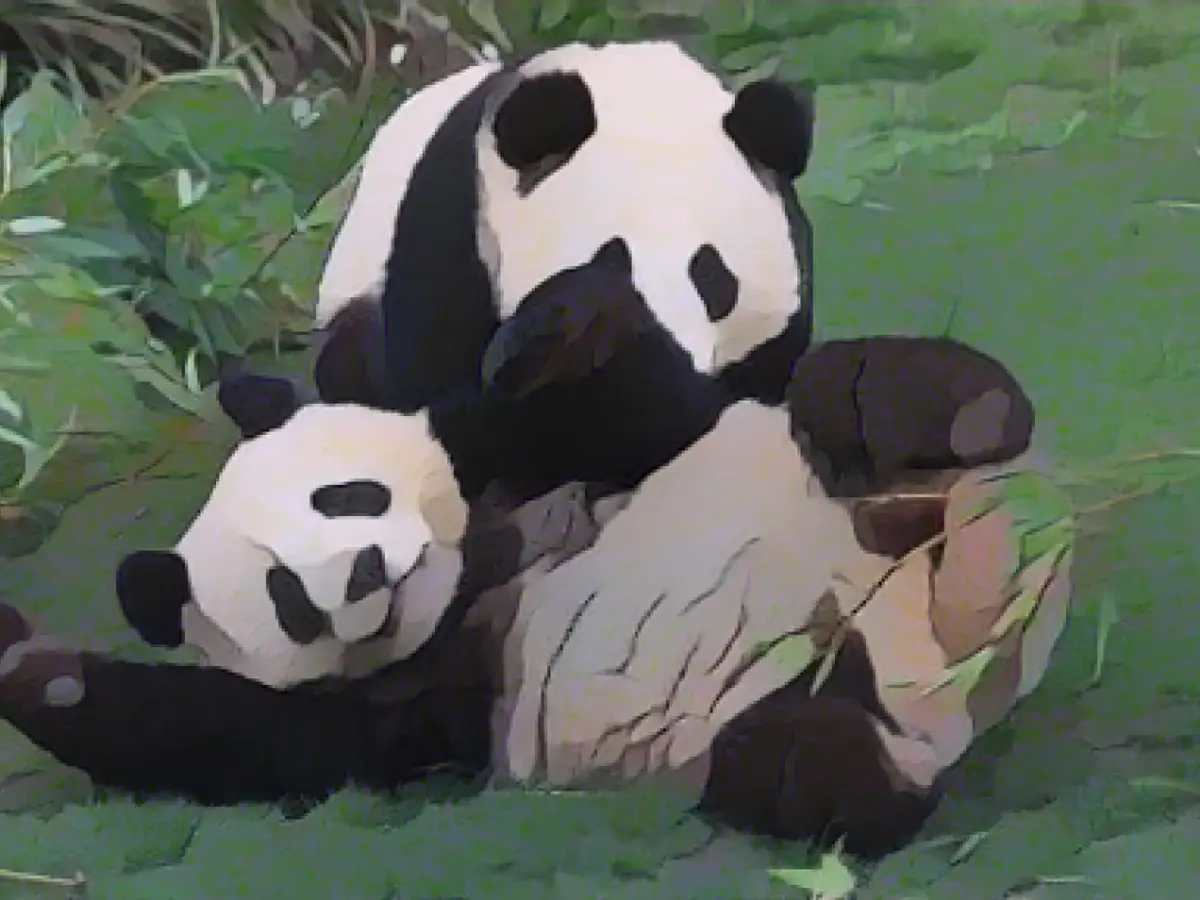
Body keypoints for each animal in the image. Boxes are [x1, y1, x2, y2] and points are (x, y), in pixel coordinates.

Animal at [0, 310, 1069, 857]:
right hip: (748, 722)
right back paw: (851, 736)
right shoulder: (426, 698)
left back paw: (910, 408)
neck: (474, 564)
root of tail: (955, 644)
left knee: (877, 400)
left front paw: (555, 339)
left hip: (889, 483)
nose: (369, 571)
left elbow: (628, 407)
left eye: (345, 495)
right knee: (802, 764)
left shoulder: (543, 464)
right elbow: (266, 738)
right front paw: (34, 664)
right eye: (288, 596)